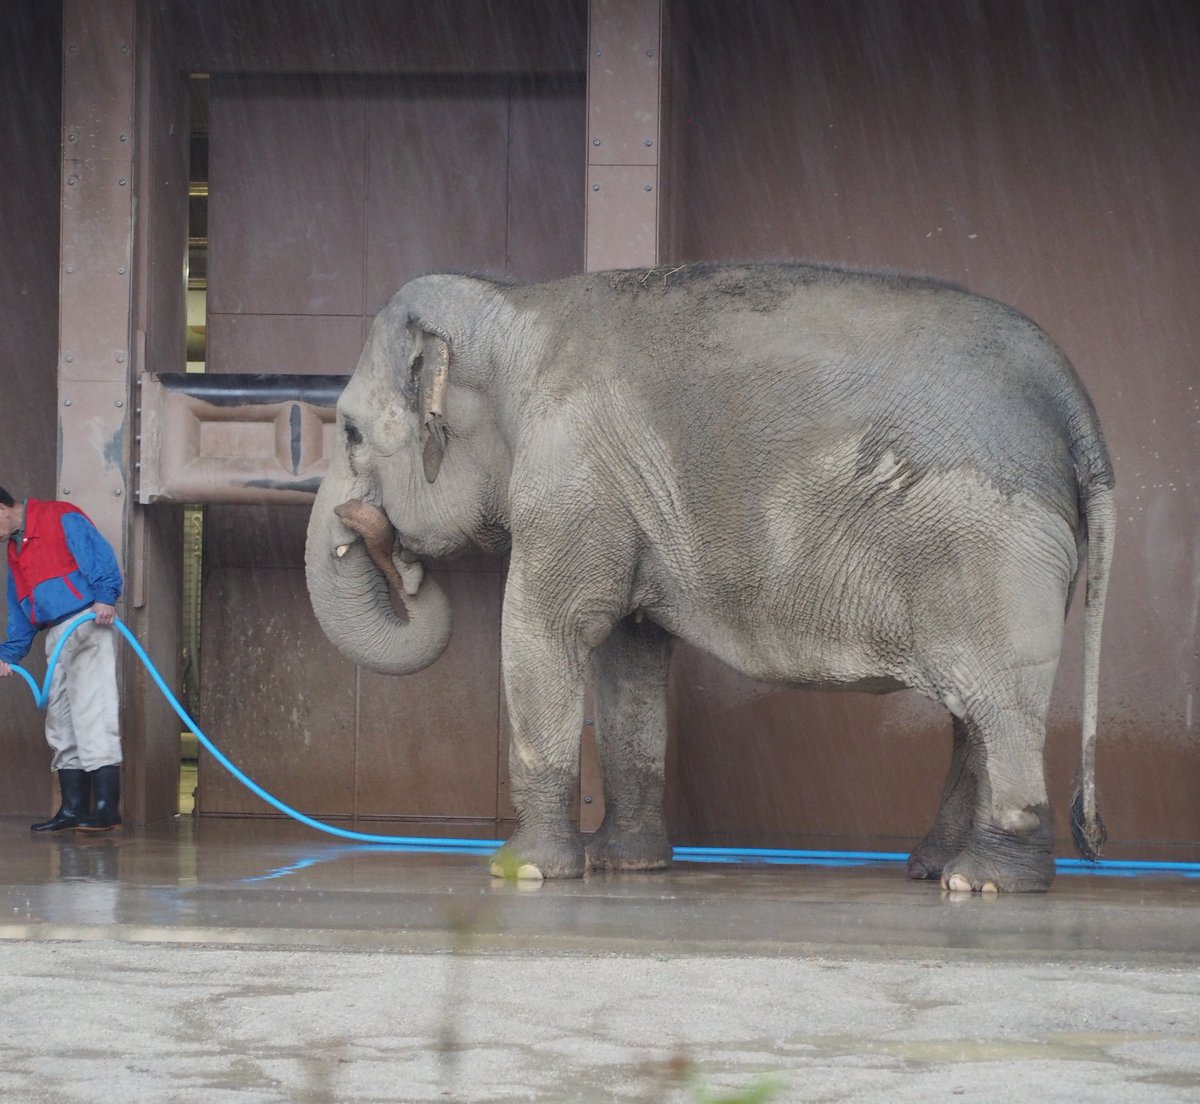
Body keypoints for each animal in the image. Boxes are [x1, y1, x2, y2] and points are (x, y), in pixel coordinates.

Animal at [307, 262, 1113, 892]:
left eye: (348, 430)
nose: (399, 563)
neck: (516, 306)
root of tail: (1074, 402)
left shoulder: (573, 471)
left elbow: (550, 625)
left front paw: (525, 870)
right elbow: (628, 654)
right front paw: (623, 866)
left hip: (989, 547)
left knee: (994, 697)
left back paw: (985, 881)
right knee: (971, 708)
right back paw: (935, 868)